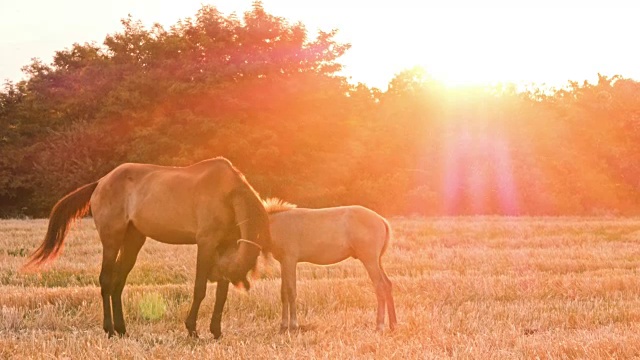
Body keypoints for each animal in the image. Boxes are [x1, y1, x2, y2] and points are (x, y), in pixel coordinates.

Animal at [24, 157, 270, 338]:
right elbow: (200, 288)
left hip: (133, 241)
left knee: (118, 282)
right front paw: (192, 328)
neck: (229, 194)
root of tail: (100, 182)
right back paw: (109, 330)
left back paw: (122, 329)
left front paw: (216, 331)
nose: (213, 274)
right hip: (112, 240)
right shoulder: (206, 243)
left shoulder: (224, 246)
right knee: (106, 280)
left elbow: (221, 293)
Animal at [264, 198, 398, 334]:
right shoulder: (283, 263)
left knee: (380, 286)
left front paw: (293, 326)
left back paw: (379, 326)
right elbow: (283, 292)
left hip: (370, 261)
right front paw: (283, 326)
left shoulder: (289, 261)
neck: (276, 224)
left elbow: (291, 291)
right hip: (377, 261)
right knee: (387, 285)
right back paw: (393, 325)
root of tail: (381, 220)